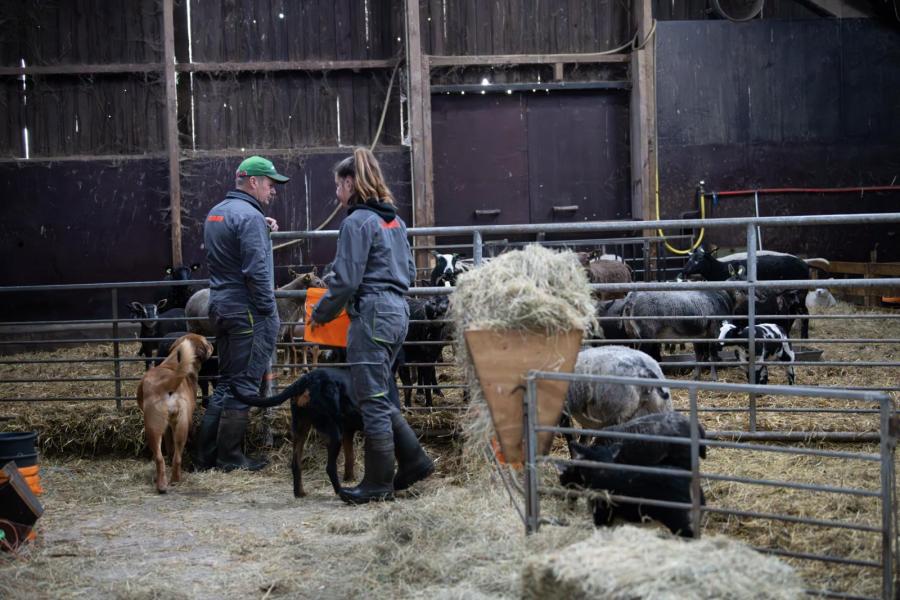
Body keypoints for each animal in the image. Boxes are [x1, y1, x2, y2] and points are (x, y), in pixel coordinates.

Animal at [135, 332, 213, 492]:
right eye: (206, 342)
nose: (212, 345)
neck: (172, 364)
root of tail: (169, 381)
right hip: (179, 425)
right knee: (176, 457)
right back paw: (173, 481)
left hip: (155, 426)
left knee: (160, 458)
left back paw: (165, 483)